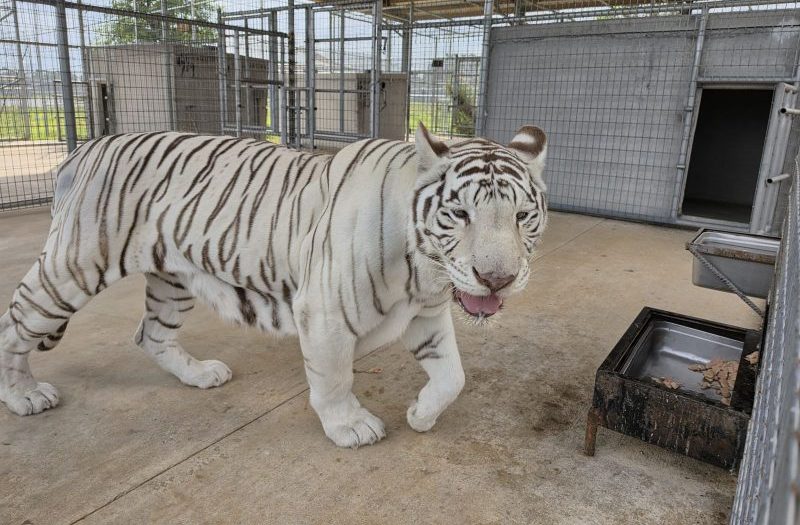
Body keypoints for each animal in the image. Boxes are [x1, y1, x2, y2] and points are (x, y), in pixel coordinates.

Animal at [0, 122, 547, 448]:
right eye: (460, 215)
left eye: (522, 216)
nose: (496, 279)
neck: (424, 273)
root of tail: (89, 146)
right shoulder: (325, 312)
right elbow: (334, 377)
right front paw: (351, 426)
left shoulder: (428, 315)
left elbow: (453, 376)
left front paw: (421, 416)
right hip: (73, 267)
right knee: (15, 324)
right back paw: (24, 395)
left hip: (172, 280)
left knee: (150, 334)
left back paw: (200, 375)